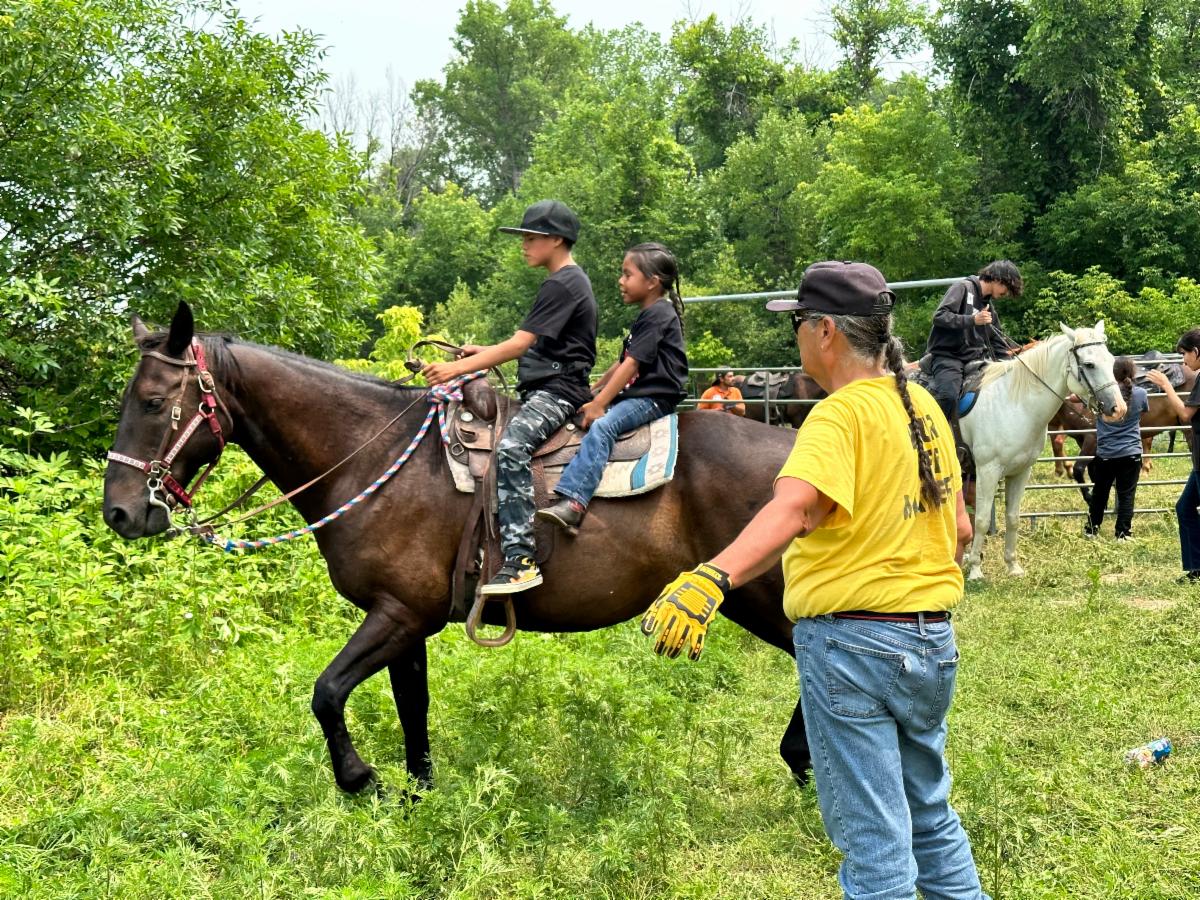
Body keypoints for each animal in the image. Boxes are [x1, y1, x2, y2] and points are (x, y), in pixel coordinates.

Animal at [105, 304, 816, 796]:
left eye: (153, 401)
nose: (120, 512)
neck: (371, 457)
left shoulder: (399, 613)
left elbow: (326, 693)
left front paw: (360, 779)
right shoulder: (403, 619)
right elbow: (410, 707)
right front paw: (419, 797)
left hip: (764, 596)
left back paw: (805, 763)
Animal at [955, 324, 1123, 585]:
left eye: (1111, 360)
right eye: (1089, 365)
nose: (1118, 408)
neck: (1014, 404)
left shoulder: (1021, 471)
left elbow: (1012, 517)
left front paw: (1012, 565)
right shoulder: (987, 471)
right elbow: (981, 520)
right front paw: (975, 569)